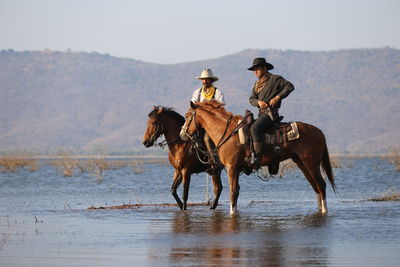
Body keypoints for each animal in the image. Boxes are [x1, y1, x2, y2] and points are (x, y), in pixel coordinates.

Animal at [180, 100, 336, 216]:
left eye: (188, 116)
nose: (182, 134)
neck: (227, 132)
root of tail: (319, 132)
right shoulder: (235, 170)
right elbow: (236, 193)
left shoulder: (232, 168)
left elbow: (233, 193)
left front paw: (232, 214)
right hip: (302, 163)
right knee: (315, 186)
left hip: (311, 163)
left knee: (321, 184)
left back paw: (324, 211)